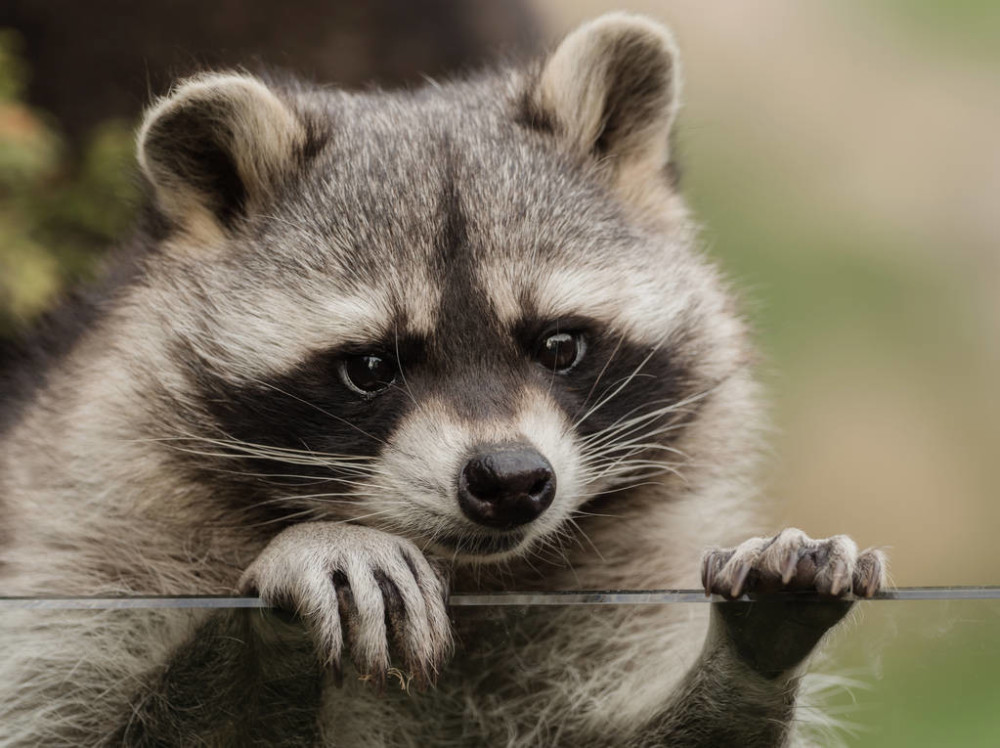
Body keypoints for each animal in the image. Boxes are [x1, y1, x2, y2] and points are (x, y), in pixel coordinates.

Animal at [1, 13, 892, 748]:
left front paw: (754, 653)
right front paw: (284, 602)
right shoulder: (84, 554)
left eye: (559, 345)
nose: (511, 479)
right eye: (370, 367)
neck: (469, 574)